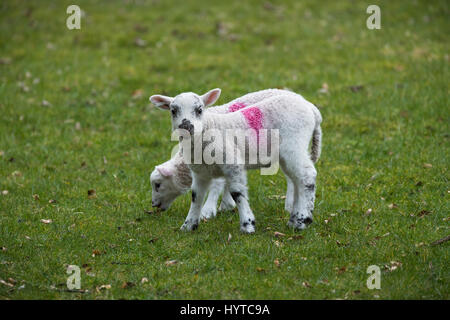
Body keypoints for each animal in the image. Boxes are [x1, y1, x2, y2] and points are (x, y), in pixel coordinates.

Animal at [149, 87, 322, 232]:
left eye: (199, 110)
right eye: (173, 111)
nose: (186, 127)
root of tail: (312, 109)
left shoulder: (231, 163)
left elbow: (236, 192)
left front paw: (247, 224)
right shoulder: (200, 173)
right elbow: (196, 196)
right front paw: (188, 225)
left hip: (294, 144)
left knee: (307, 175)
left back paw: (302, 220)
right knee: (297, 179)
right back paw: (295, 218)